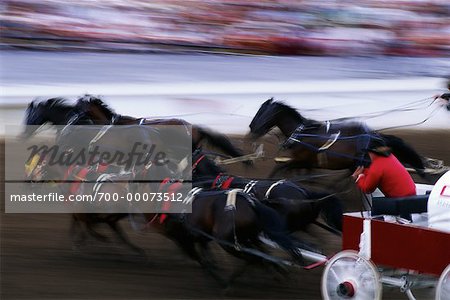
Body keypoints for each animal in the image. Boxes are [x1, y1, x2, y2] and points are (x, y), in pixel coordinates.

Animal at [248, 98, 424, 178]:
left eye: (262, 113)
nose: (251, 129)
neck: (302, 133)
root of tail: (372, 135)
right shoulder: (304, 164)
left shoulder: (301, 160)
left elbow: (279, 169)